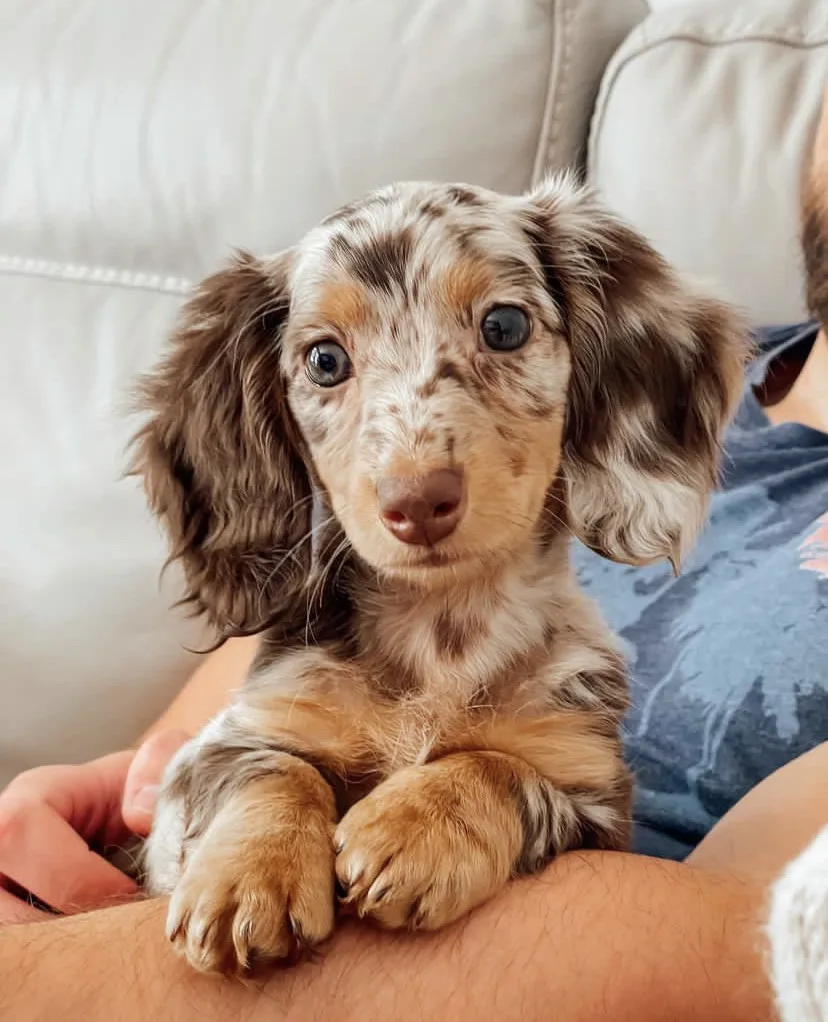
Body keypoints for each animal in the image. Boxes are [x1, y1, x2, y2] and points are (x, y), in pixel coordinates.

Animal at [130, 173, 748, 972]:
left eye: (505, 326)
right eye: (324, 360)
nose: (417, 502)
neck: (442, 628)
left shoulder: (594, 796)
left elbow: (497, 767)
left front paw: (418, 822)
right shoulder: (217, 747)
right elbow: (274, 769)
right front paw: (251, 873)